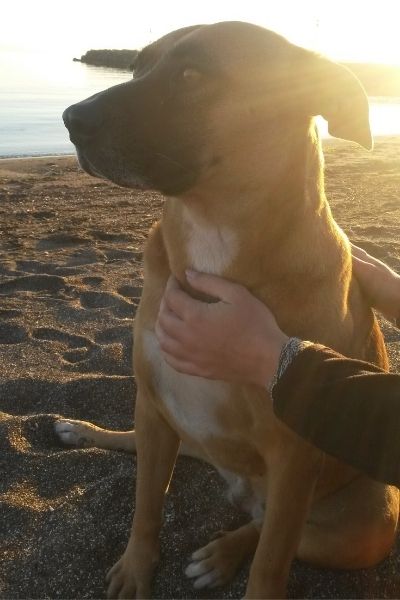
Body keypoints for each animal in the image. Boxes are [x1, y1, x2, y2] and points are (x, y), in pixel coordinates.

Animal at [57, 21, 398, 596]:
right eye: (136, 67)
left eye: (192, 75)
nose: (71, 120)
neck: (213, 232)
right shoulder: (155, 404)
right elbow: (145, 506)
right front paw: (135, 567)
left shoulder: (294, 458)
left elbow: (270, 563)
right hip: (178, 427)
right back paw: (80, 430)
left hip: (367, 521)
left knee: (271, 530)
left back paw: (222, 552)